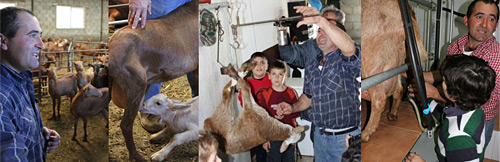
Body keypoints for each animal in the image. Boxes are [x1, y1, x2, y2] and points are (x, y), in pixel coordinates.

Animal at [362, 0, 428, 142]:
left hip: (371, 63)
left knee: (379, 99)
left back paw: (365, 134)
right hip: (397, 59)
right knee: (398, 89)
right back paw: (392, 114)